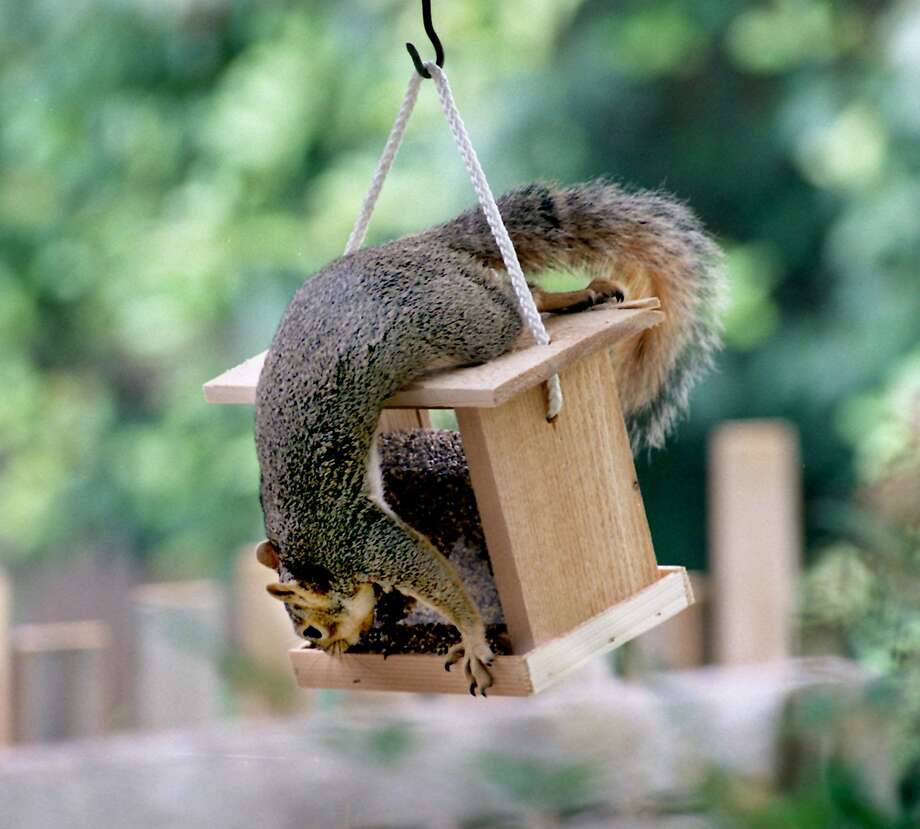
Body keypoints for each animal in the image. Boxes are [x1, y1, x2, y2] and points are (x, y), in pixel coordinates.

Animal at [253, 181, 724, 695]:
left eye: (312, 629)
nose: (331, 654)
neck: (313, 553)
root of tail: (419, 244)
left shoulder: (361, 539)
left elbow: (432, 574)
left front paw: (474, 641)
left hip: (463, 319)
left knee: (517, 302)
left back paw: (576, 295)